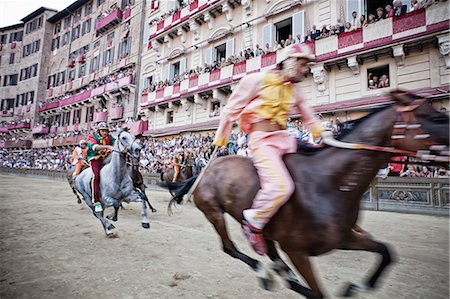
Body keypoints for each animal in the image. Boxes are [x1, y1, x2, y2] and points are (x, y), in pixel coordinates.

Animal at [163, 90, 448, 298]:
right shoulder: (297, 249)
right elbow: (318, 293)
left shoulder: (344, 237)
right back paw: (266, 271)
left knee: (264, 246)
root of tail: (206, 169)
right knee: (230, 247)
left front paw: (355, 287)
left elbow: (386, 251)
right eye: (436, 119)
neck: (329, 184)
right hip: (214, 212)